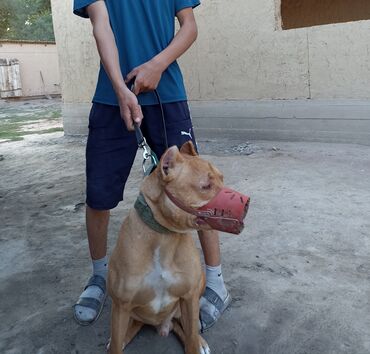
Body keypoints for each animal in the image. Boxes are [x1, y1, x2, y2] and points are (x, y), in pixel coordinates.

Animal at [105, 141, 247, 354]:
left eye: (222, 179)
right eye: (206, 186)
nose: (247, 203)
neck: (164, 237)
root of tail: (162, 325)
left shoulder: (189, 298)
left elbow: (191, 336)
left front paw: (196, 343)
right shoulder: (121, 305)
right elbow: (115, 345)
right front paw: (116, 342)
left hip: (196, 289)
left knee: (186, 327)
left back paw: (200, 341)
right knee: (132, 327)